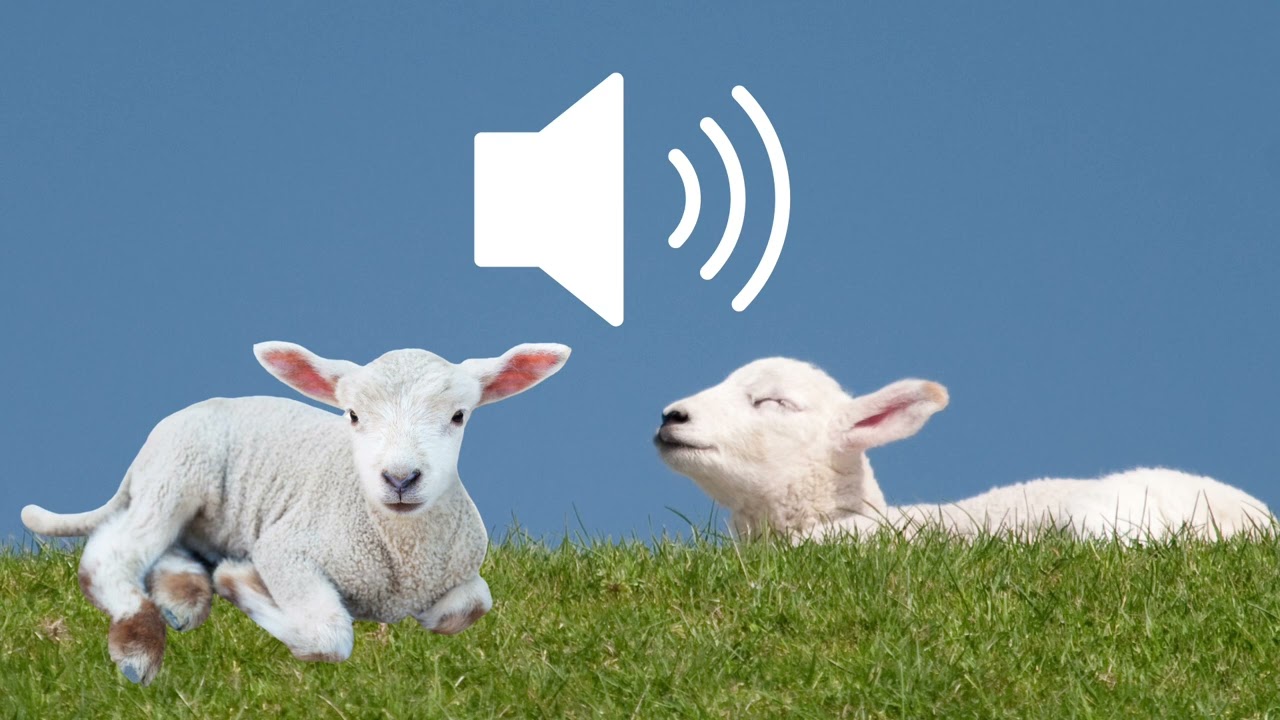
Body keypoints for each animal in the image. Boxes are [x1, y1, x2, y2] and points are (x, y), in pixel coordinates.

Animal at [21, 340, 570, 685]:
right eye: (352, 415)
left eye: (458, 416)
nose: (400, 479)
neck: (399, 550)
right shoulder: (287, 549)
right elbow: (329, 638)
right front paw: (243, 581)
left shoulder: (462, 573)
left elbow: (470, 606)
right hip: (178, 474)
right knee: (110, 555)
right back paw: (139, 646)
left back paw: (182, 595)